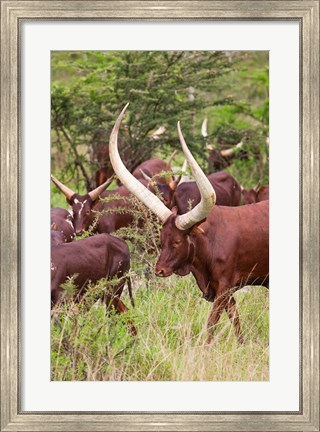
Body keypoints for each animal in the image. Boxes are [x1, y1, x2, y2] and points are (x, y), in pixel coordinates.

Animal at [109, 103, 268, 342]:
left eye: (177, 241)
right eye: (162, 240)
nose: (159, 270)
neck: (209, 242)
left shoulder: (224, 286)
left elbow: (211, 325)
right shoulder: (221, 289)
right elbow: (235, 321)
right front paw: (241, 345)